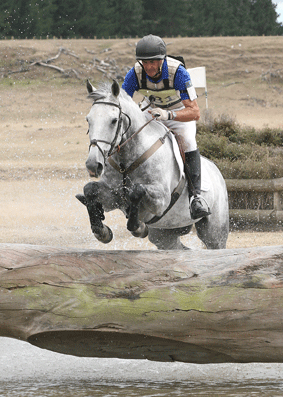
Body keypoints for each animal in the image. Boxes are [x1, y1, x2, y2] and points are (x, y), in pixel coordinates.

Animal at [76, 79, 231, 249]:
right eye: (88, 120)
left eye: (114, 121)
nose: (93, 165)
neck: (126, 162)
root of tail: (217, 172)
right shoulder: (113, 197)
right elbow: (90, 189)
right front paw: (102, 231)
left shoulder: (161, 200)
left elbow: (136, 191)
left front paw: (139, 227)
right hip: (164, 234)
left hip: (213, 233)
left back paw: (199, 206)